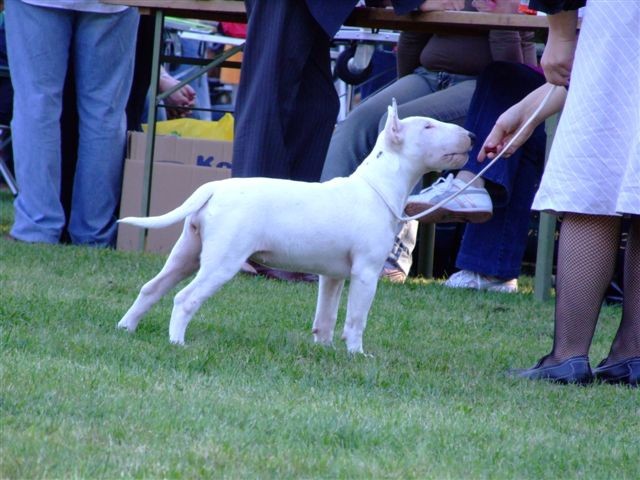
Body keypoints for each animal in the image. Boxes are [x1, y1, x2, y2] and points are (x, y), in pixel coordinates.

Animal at [117, 100, 472, 352]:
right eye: (427, 125)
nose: (470, 136)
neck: (377, 186)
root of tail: (214, 188)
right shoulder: (366, 271)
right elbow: (356, 318)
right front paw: (356, 354)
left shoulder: (332, 275)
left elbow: (326, 315)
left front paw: (325, 349)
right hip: (223, 260)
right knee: (185, 298)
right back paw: (177, 342)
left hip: (188, 252)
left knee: (152, 287)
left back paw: (126, 329)